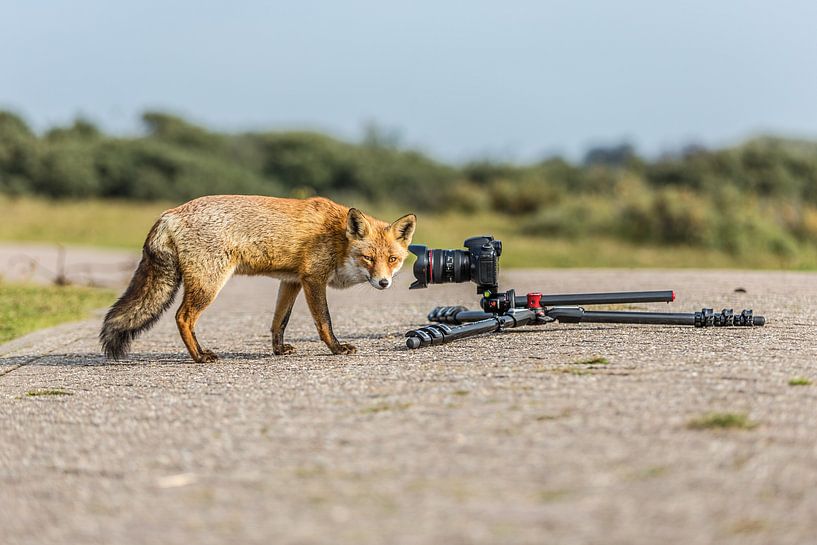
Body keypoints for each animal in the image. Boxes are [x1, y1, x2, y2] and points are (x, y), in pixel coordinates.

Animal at [99, 196, 418, 362]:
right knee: (183, 317)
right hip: (209, 284)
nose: (384, 283)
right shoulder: (313, 279)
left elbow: (280, 322)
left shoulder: (292, 281)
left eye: (392, 259)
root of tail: (168, 214)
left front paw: (278, 350)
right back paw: (200, 356)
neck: (337, 236)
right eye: (368, 258)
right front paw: (337, 348)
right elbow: (324, 322)